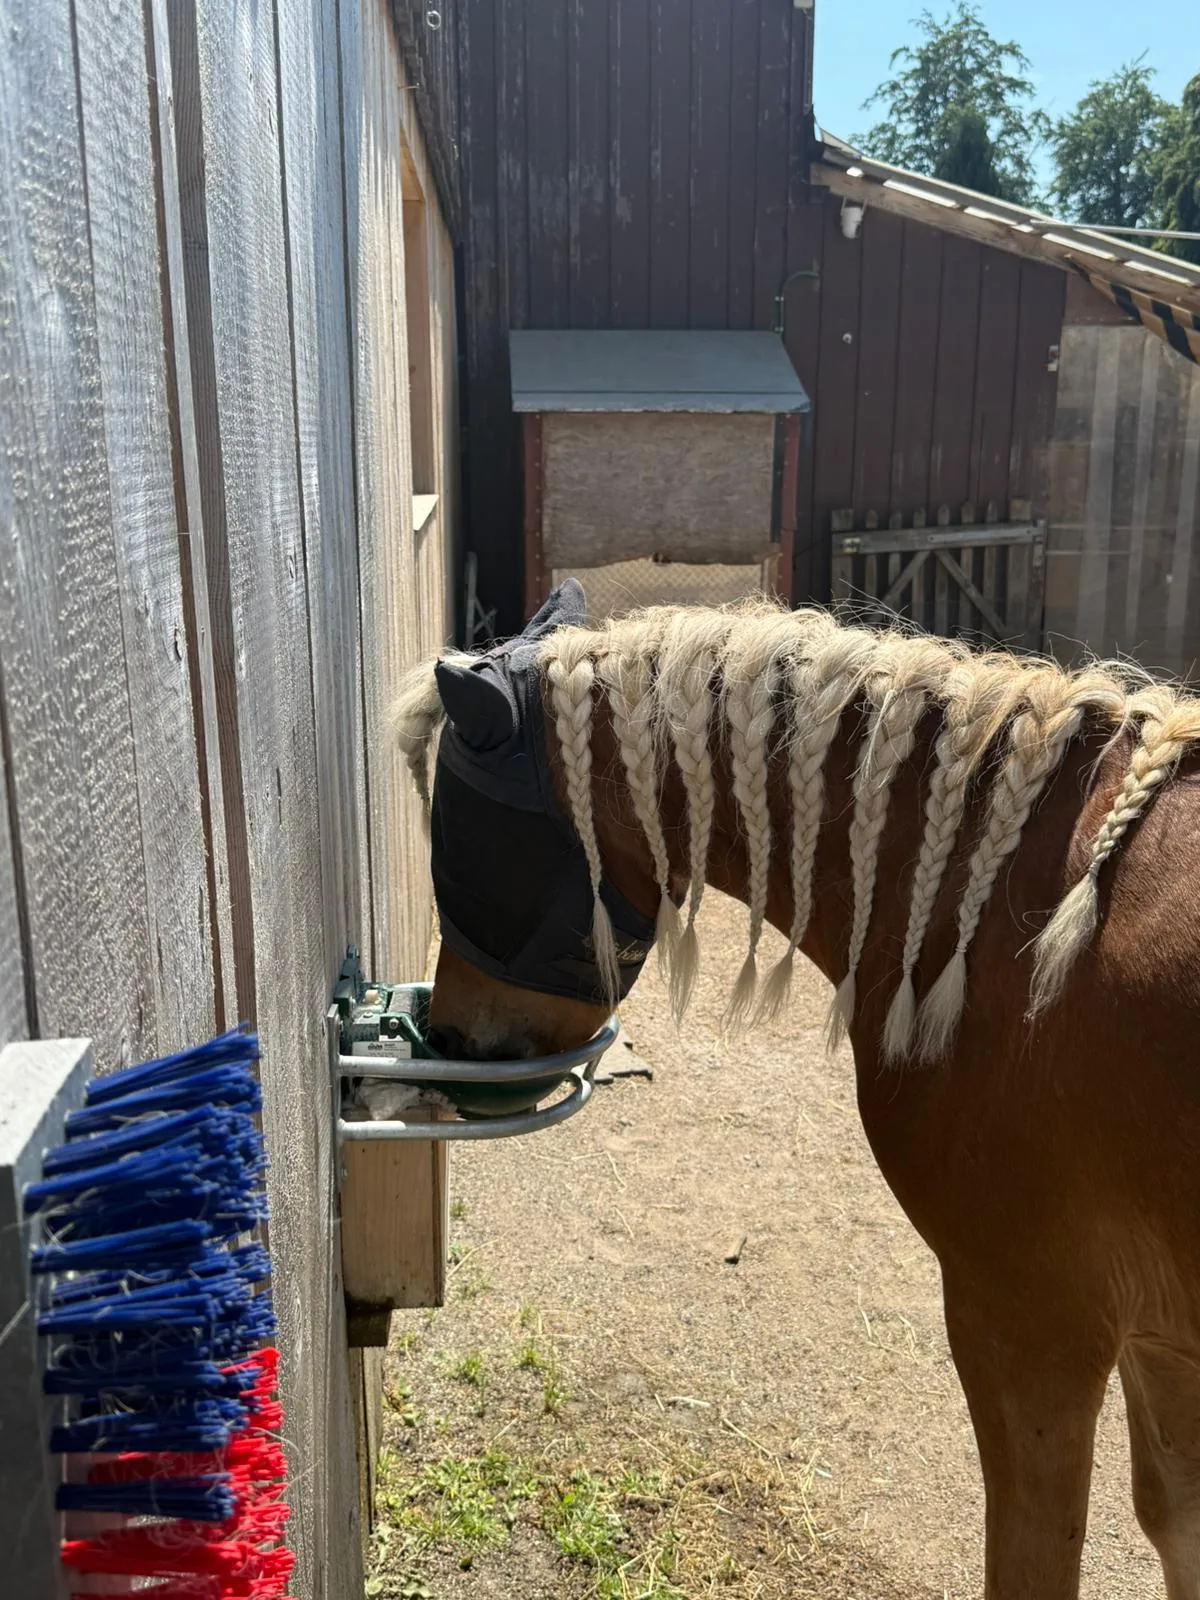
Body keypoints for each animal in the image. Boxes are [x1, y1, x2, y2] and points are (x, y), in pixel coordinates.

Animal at [393, 579, 1200, 1600]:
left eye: (463, 841)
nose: (451, 1036)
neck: (1010, 913)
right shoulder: (1159, 1338)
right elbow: (1177, 1523)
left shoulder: (1035, 1325)